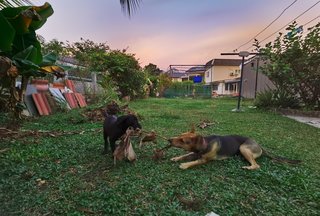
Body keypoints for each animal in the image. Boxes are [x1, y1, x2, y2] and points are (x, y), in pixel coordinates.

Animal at [169, 126, 302, 170]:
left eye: (182, 141)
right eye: (180, 135)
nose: (169, 140)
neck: (205, 143)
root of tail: (260, 146)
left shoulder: (204, 160)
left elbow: (195, 162)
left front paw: (185, 165)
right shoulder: (194, 153)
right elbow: (185, 155)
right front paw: (177, 158)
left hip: (244, 148)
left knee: (256, 165)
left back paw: (248, 167)